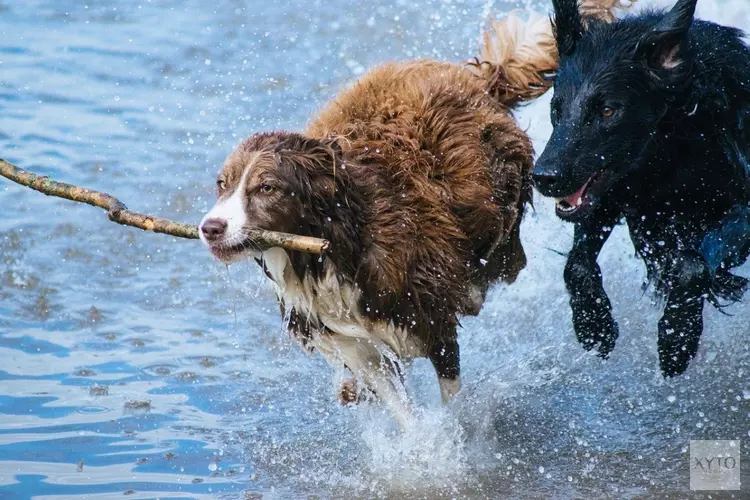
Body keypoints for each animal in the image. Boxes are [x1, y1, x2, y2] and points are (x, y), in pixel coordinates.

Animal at [536, 0, 750, 376]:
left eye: (608, 110)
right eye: (556, 108)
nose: (544, 176)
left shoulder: (743, 209)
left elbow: (691, 265)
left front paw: (677, 338)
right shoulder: (611, 196)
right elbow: (576, 264)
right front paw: (595, 326)